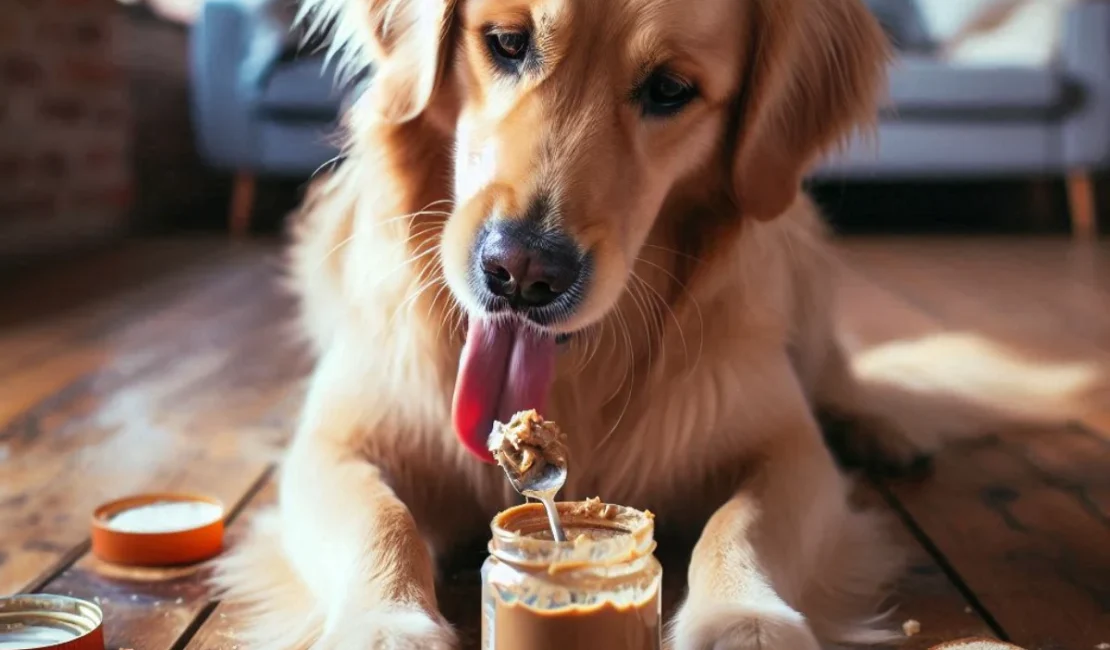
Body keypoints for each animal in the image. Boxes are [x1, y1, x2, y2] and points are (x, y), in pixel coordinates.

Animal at [209, 1, 1101, 647]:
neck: (579, 370)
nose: (521, 274)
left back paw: (879, 426)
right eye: (506, 43)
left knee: (840, 378)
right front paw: (386, 625)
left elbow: (740, 526)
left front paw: (743, 620)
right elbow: (381, 520)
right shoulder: (333, 444)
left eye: (670, 89)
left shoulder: (788, 448)